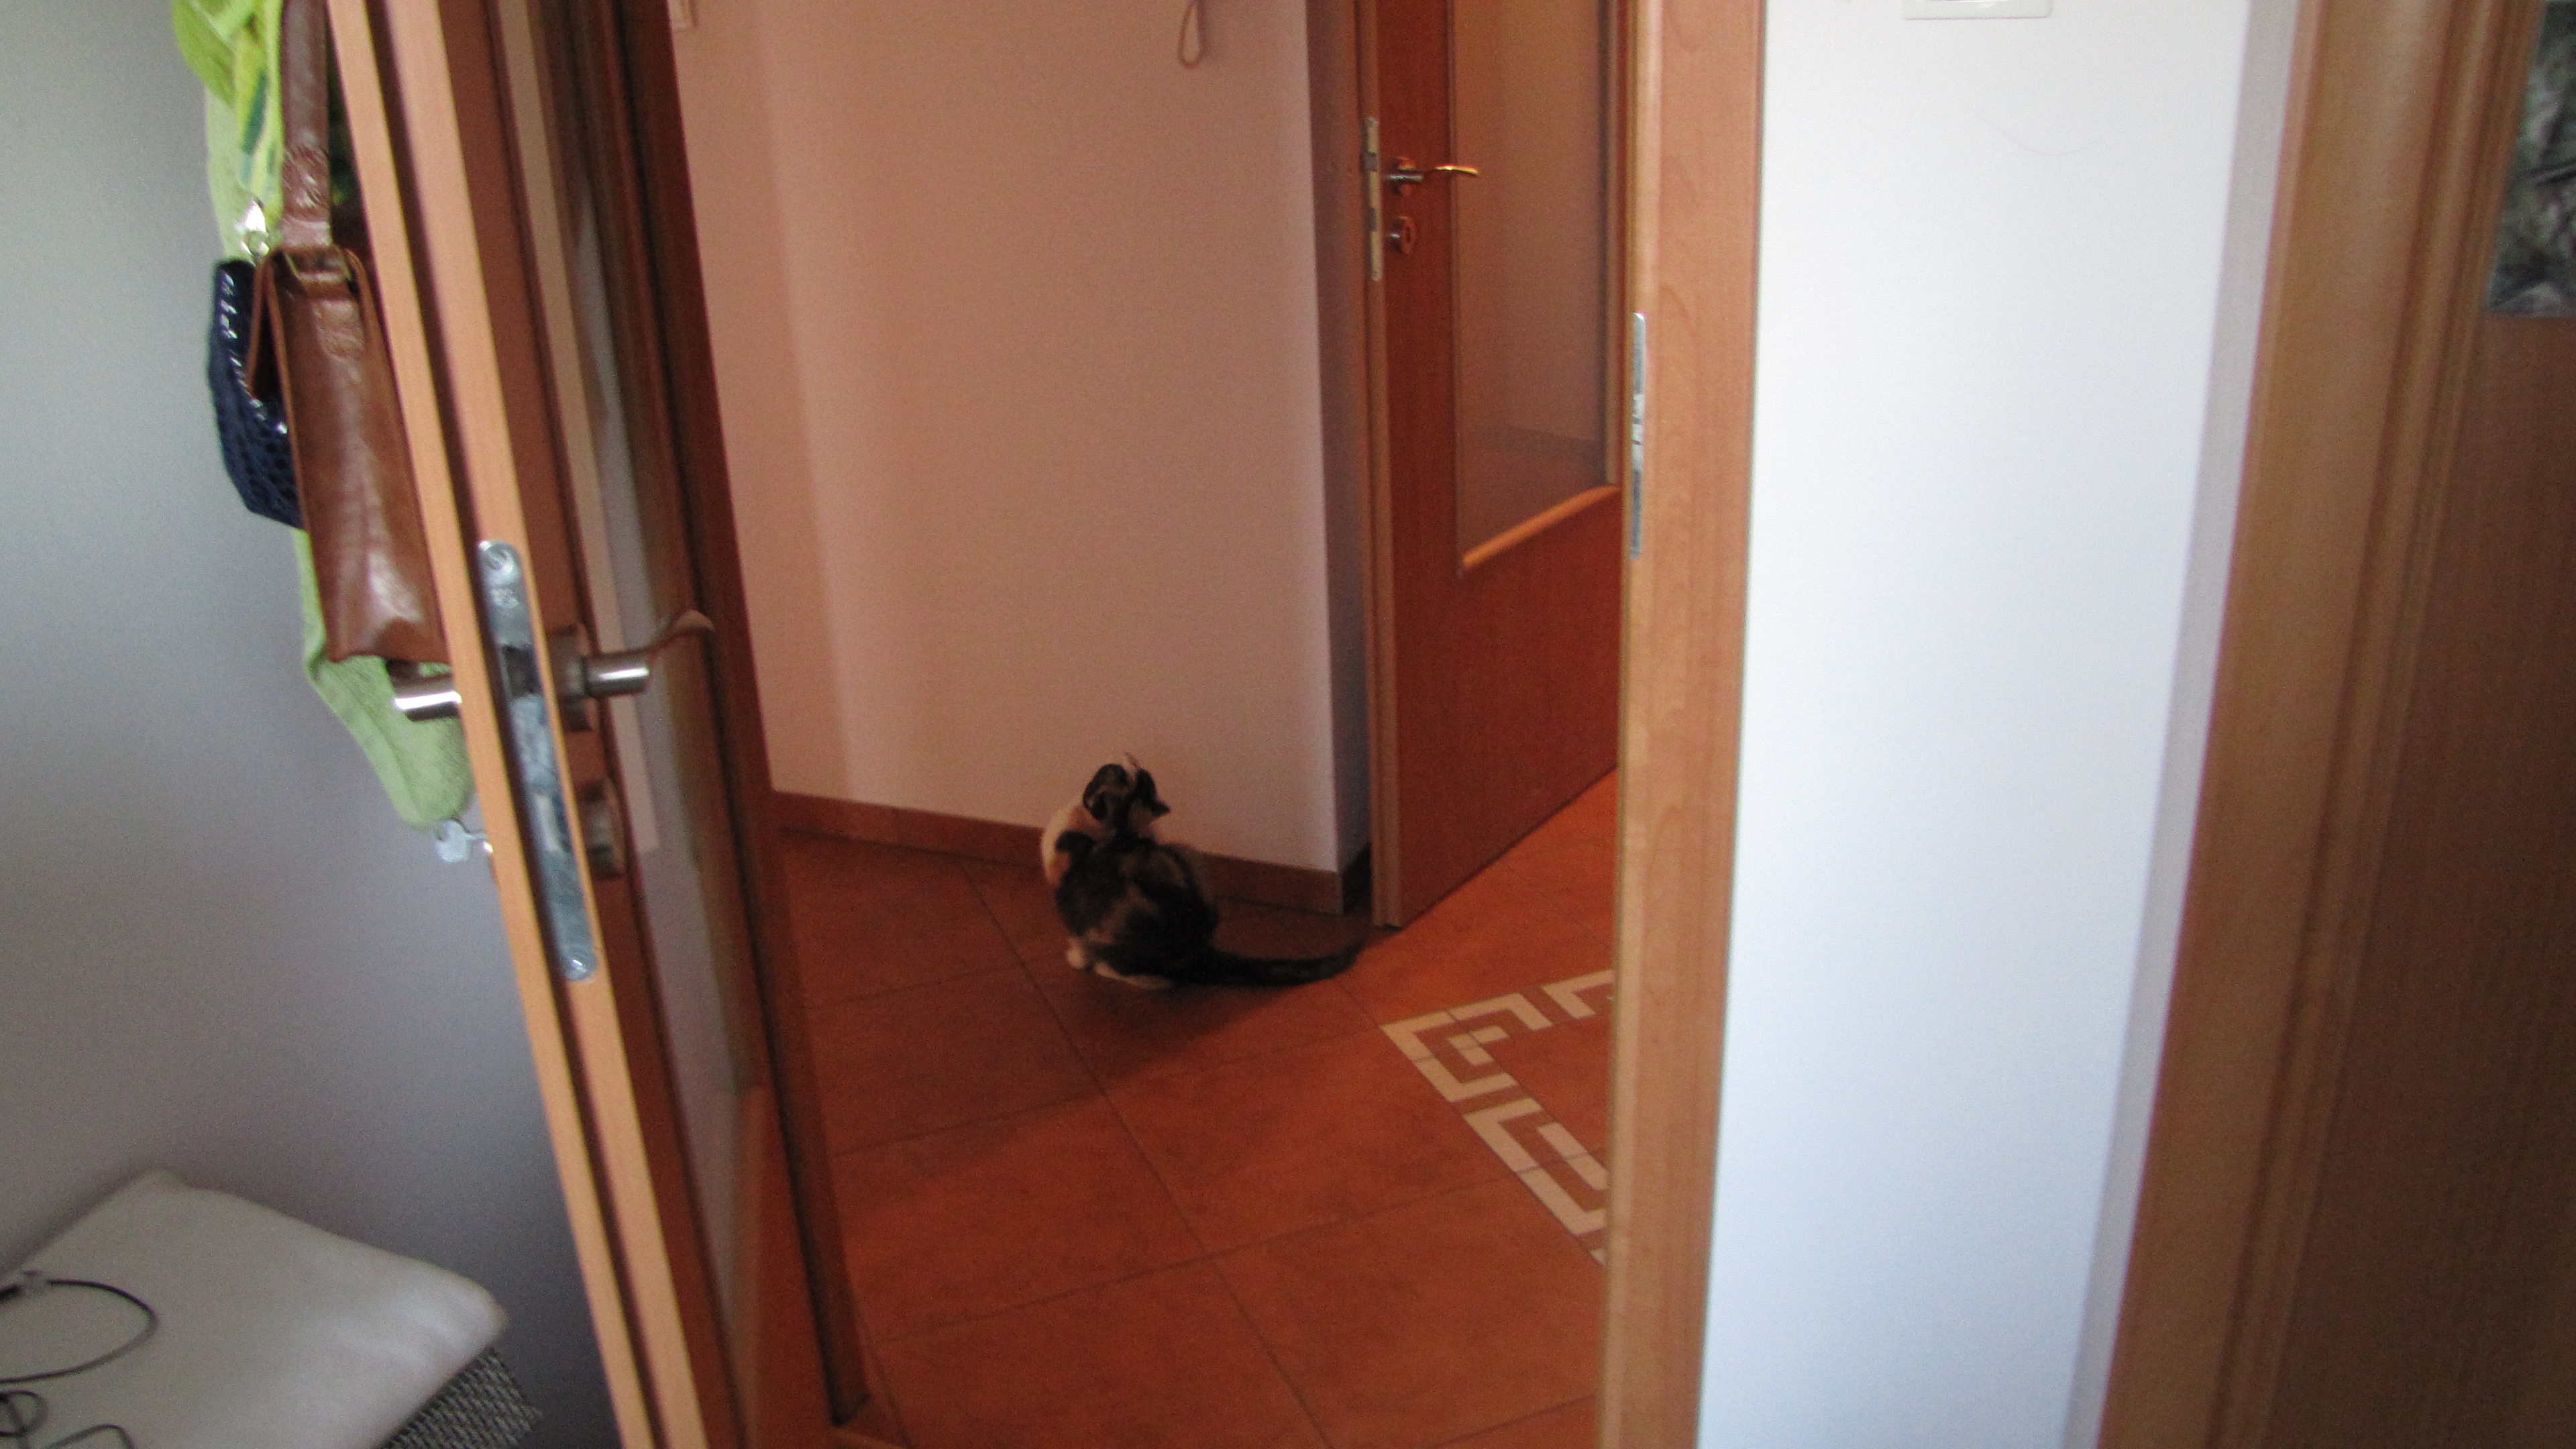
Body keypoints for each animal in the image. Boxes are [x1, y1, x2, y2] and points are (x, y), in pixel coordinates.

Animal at [1042, 760, 1360, 989]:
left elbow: (1078, 942)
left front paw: (1077, 961)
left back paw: (1118, 972)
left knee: (1146, 977)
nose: (1125, 765)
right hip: (1191, 856)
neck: (1113, 835)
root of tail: (1197, 952)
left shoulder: (1066, 896)